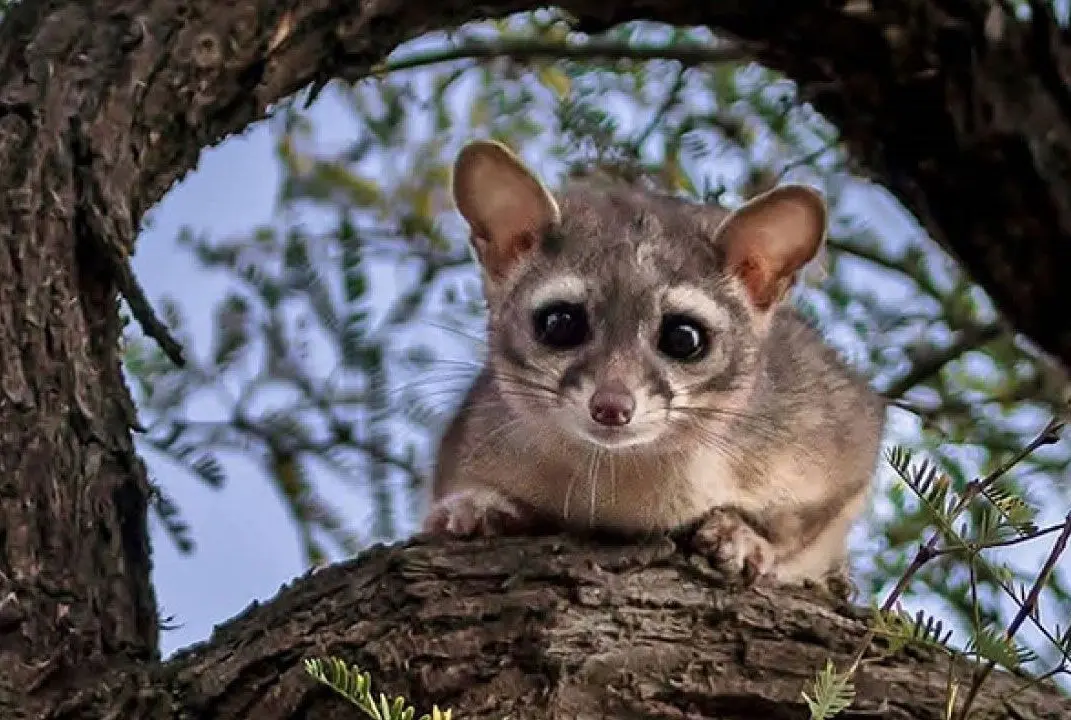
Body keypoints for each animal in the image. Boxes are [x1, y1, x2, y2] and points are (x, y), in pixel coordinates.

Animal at [419, 140, 886, 582]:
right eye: (559, 324)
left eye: (684, 337)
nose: (611, 407)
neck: (621, 480)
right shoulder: (474, 432)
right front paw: (475, 505)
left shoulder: (829, 436)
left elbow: (805, 521)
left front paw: (744, 534)